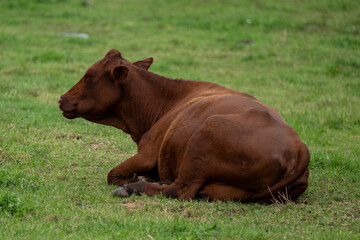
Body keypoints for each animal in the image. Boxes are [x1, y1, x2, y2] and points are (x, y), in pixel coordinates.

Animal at [59, 48, 310, 202]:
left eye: (89, 76)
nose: (61, 98)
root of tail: (299, 147)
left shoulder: (149, 152)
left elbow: (112, 174)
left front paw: (137, 179)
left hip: (204, 137)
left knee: (178, 190)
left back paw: (134, 188)